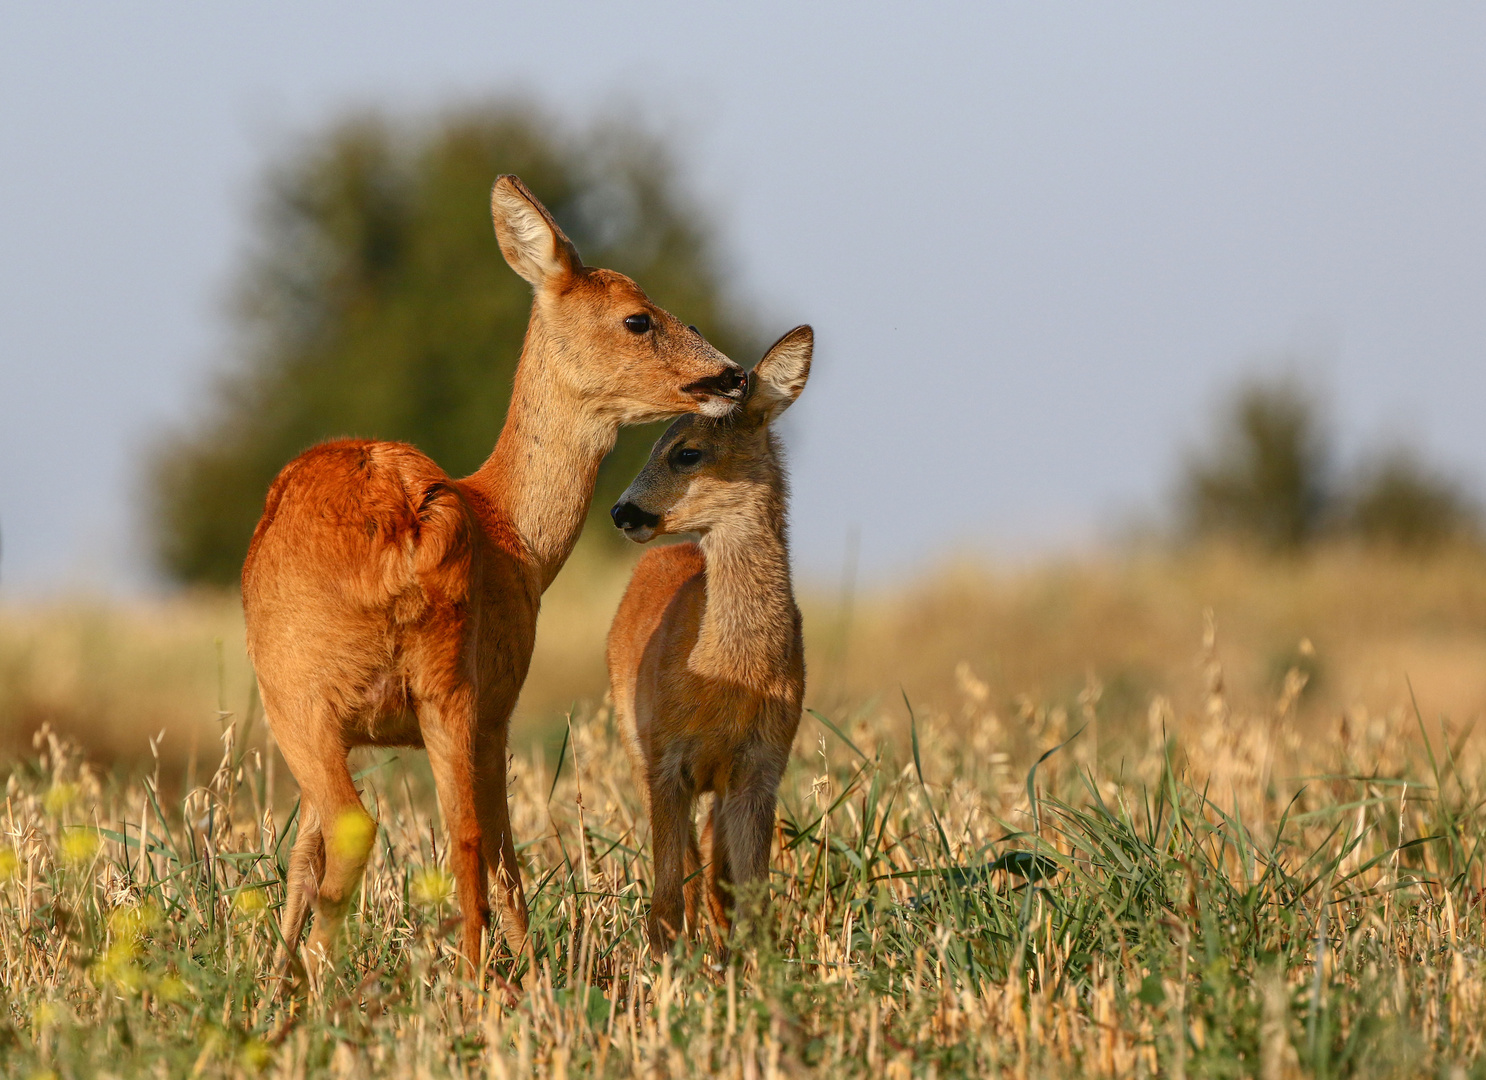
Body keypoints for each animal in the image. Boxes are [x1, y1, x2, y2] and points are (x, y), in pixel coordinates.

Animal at [251, 175, 754, 980]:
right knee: (444, 835)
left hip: (324, 694)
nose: (732, 375)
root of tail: (411, 527)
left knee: (393, 829)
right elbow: (308, 852)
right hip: (407, 692)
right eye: (637, 318)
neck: (510, 532)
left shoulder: (494, 703)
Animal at [603, 320, 814, 956]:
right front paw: (664, 965)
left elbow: (751, 893)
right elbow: (668, 896)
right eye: (656, 443)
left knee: (714, 871)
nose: (622, 512)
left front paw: (758, 965)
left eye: (687, 452)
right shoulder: (666, 759)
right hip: (633, 740)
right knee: (687, 875)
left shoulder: (761, 766)